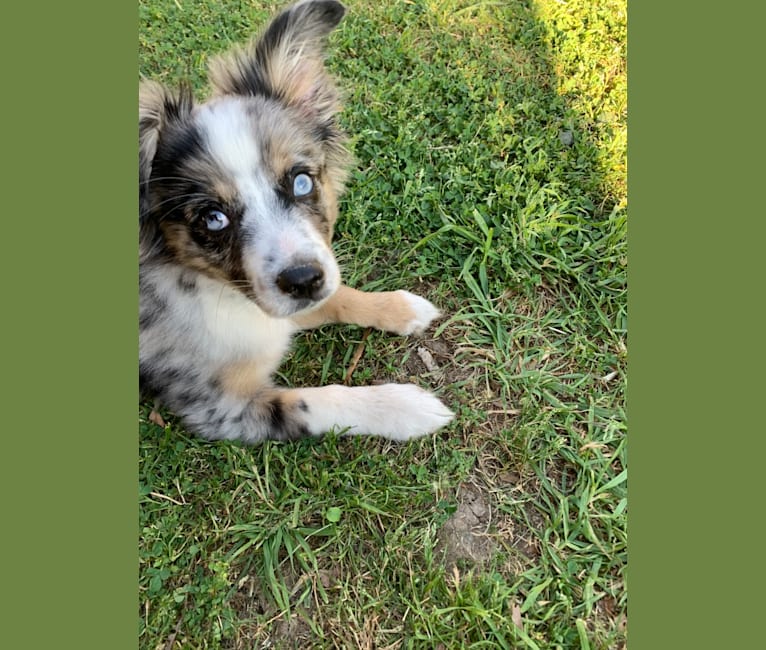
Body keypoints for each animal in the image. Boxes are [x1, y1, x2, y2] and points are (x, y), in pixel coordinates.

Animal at [140, 0, 452, 442]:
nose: (303, 280)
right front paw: (403, 407)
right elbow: (322, 399)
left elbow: (339, 296)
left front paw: (400, 308)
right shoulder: (221, 408)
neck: (220, 292)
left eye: (301, 181)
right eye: (213, 218)